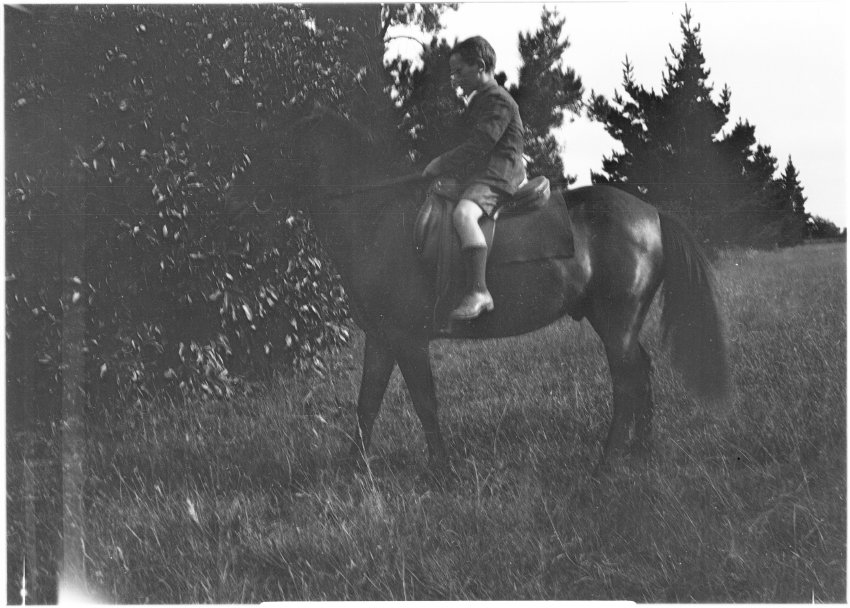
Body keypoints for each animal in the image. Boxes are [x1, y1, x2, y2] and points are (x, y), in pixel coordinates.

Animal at [226, 107, 730, 473]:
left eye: (279, 149)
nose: (234, 197)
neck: (376, 216)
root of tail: (653, 213)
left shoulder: (408, 340)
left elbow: (425, 403)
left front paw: (442, 472)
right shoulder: (382, 338)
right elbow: (367, 403)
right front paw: (353, 469)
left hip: (616, 322)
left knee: (627, 381)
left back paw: (607, 463)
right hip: (619, 323)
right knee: (641, 373)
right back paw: (641, 453)